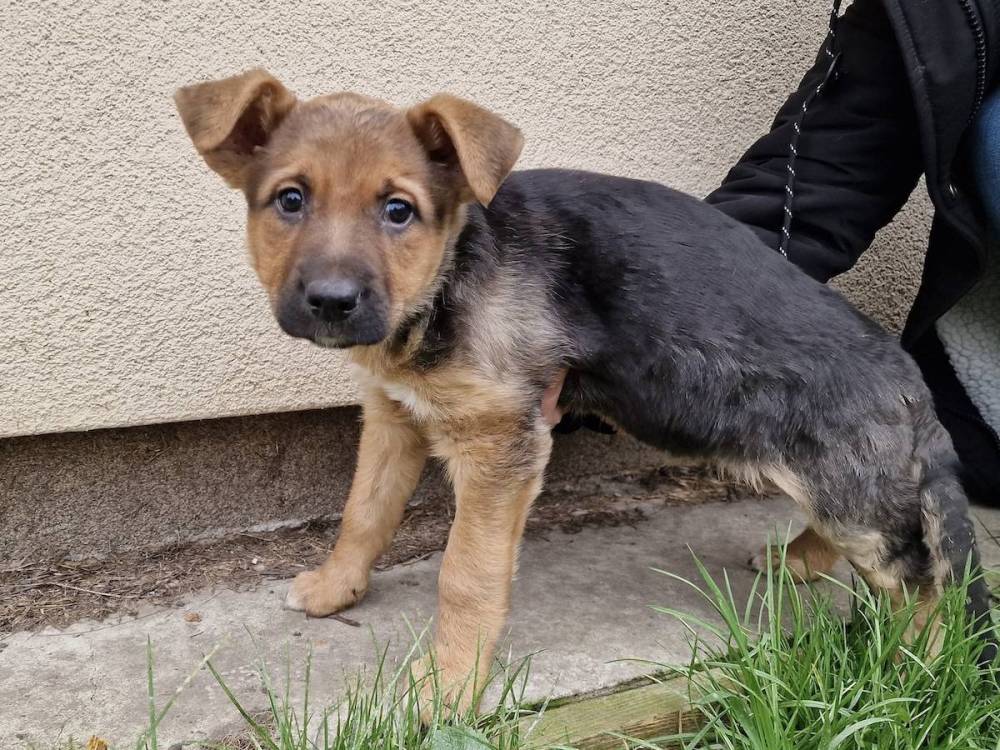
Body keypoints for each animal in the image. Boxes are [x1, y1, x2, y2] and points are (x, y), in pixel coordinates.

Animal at [175, 69, 992, 710]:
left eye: (398, 211)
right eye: (290, 200)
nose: (332, 303)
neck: (453, 272)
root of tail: (912, 385)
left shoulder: (501, 446)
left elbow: (467, 576)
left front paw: (445, 690)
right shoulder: (394, 417)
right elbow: (363, 513)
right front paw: (337, 587)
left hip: (857, 496)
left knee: (925, 586)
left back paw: (916, 673)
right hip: (840, 486)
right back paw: (797, 561)